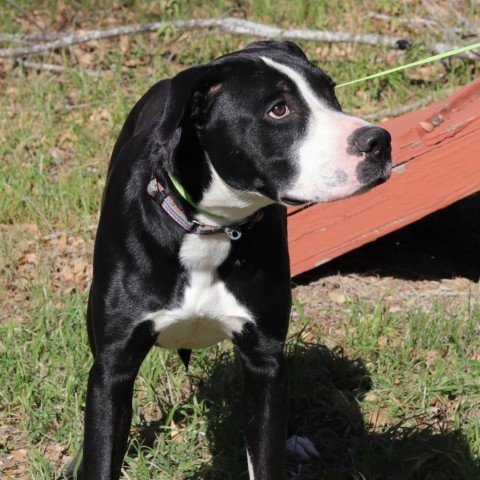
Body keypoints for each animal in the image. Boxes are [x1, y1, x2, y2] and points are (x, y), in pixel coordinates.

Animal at [65, 41, 392, 480]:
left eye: (330, 92)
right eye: (278, 110)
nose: (379, 140)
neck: (211, 229)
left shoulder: (264, 357)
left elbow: (266, 448)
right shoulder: (114, 366)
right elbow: (103, 446)